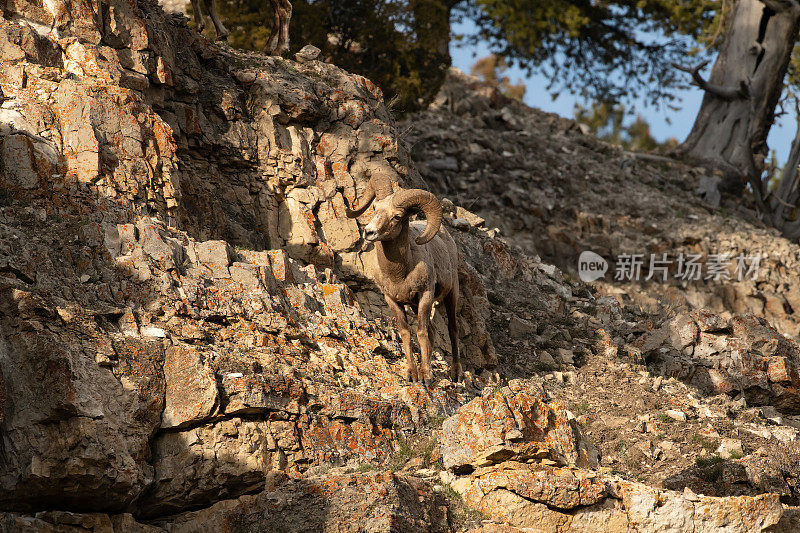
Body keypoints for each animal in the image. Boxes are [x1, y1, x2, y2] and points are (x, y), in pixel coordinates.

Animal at [346, 183, 462, 382]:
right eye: (375, 208)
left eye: (397, 216)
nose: (369, 232)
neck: (399, 274)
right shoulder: (393, 301)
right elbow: (407, 333)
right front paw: (412, 374)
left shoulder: (425, 295)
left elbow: (421, 333)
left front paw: (426, 376)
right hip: (415, 306)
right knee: (432, 331)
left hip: (450, 294)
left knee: (452, 329)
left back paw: (456, 374)